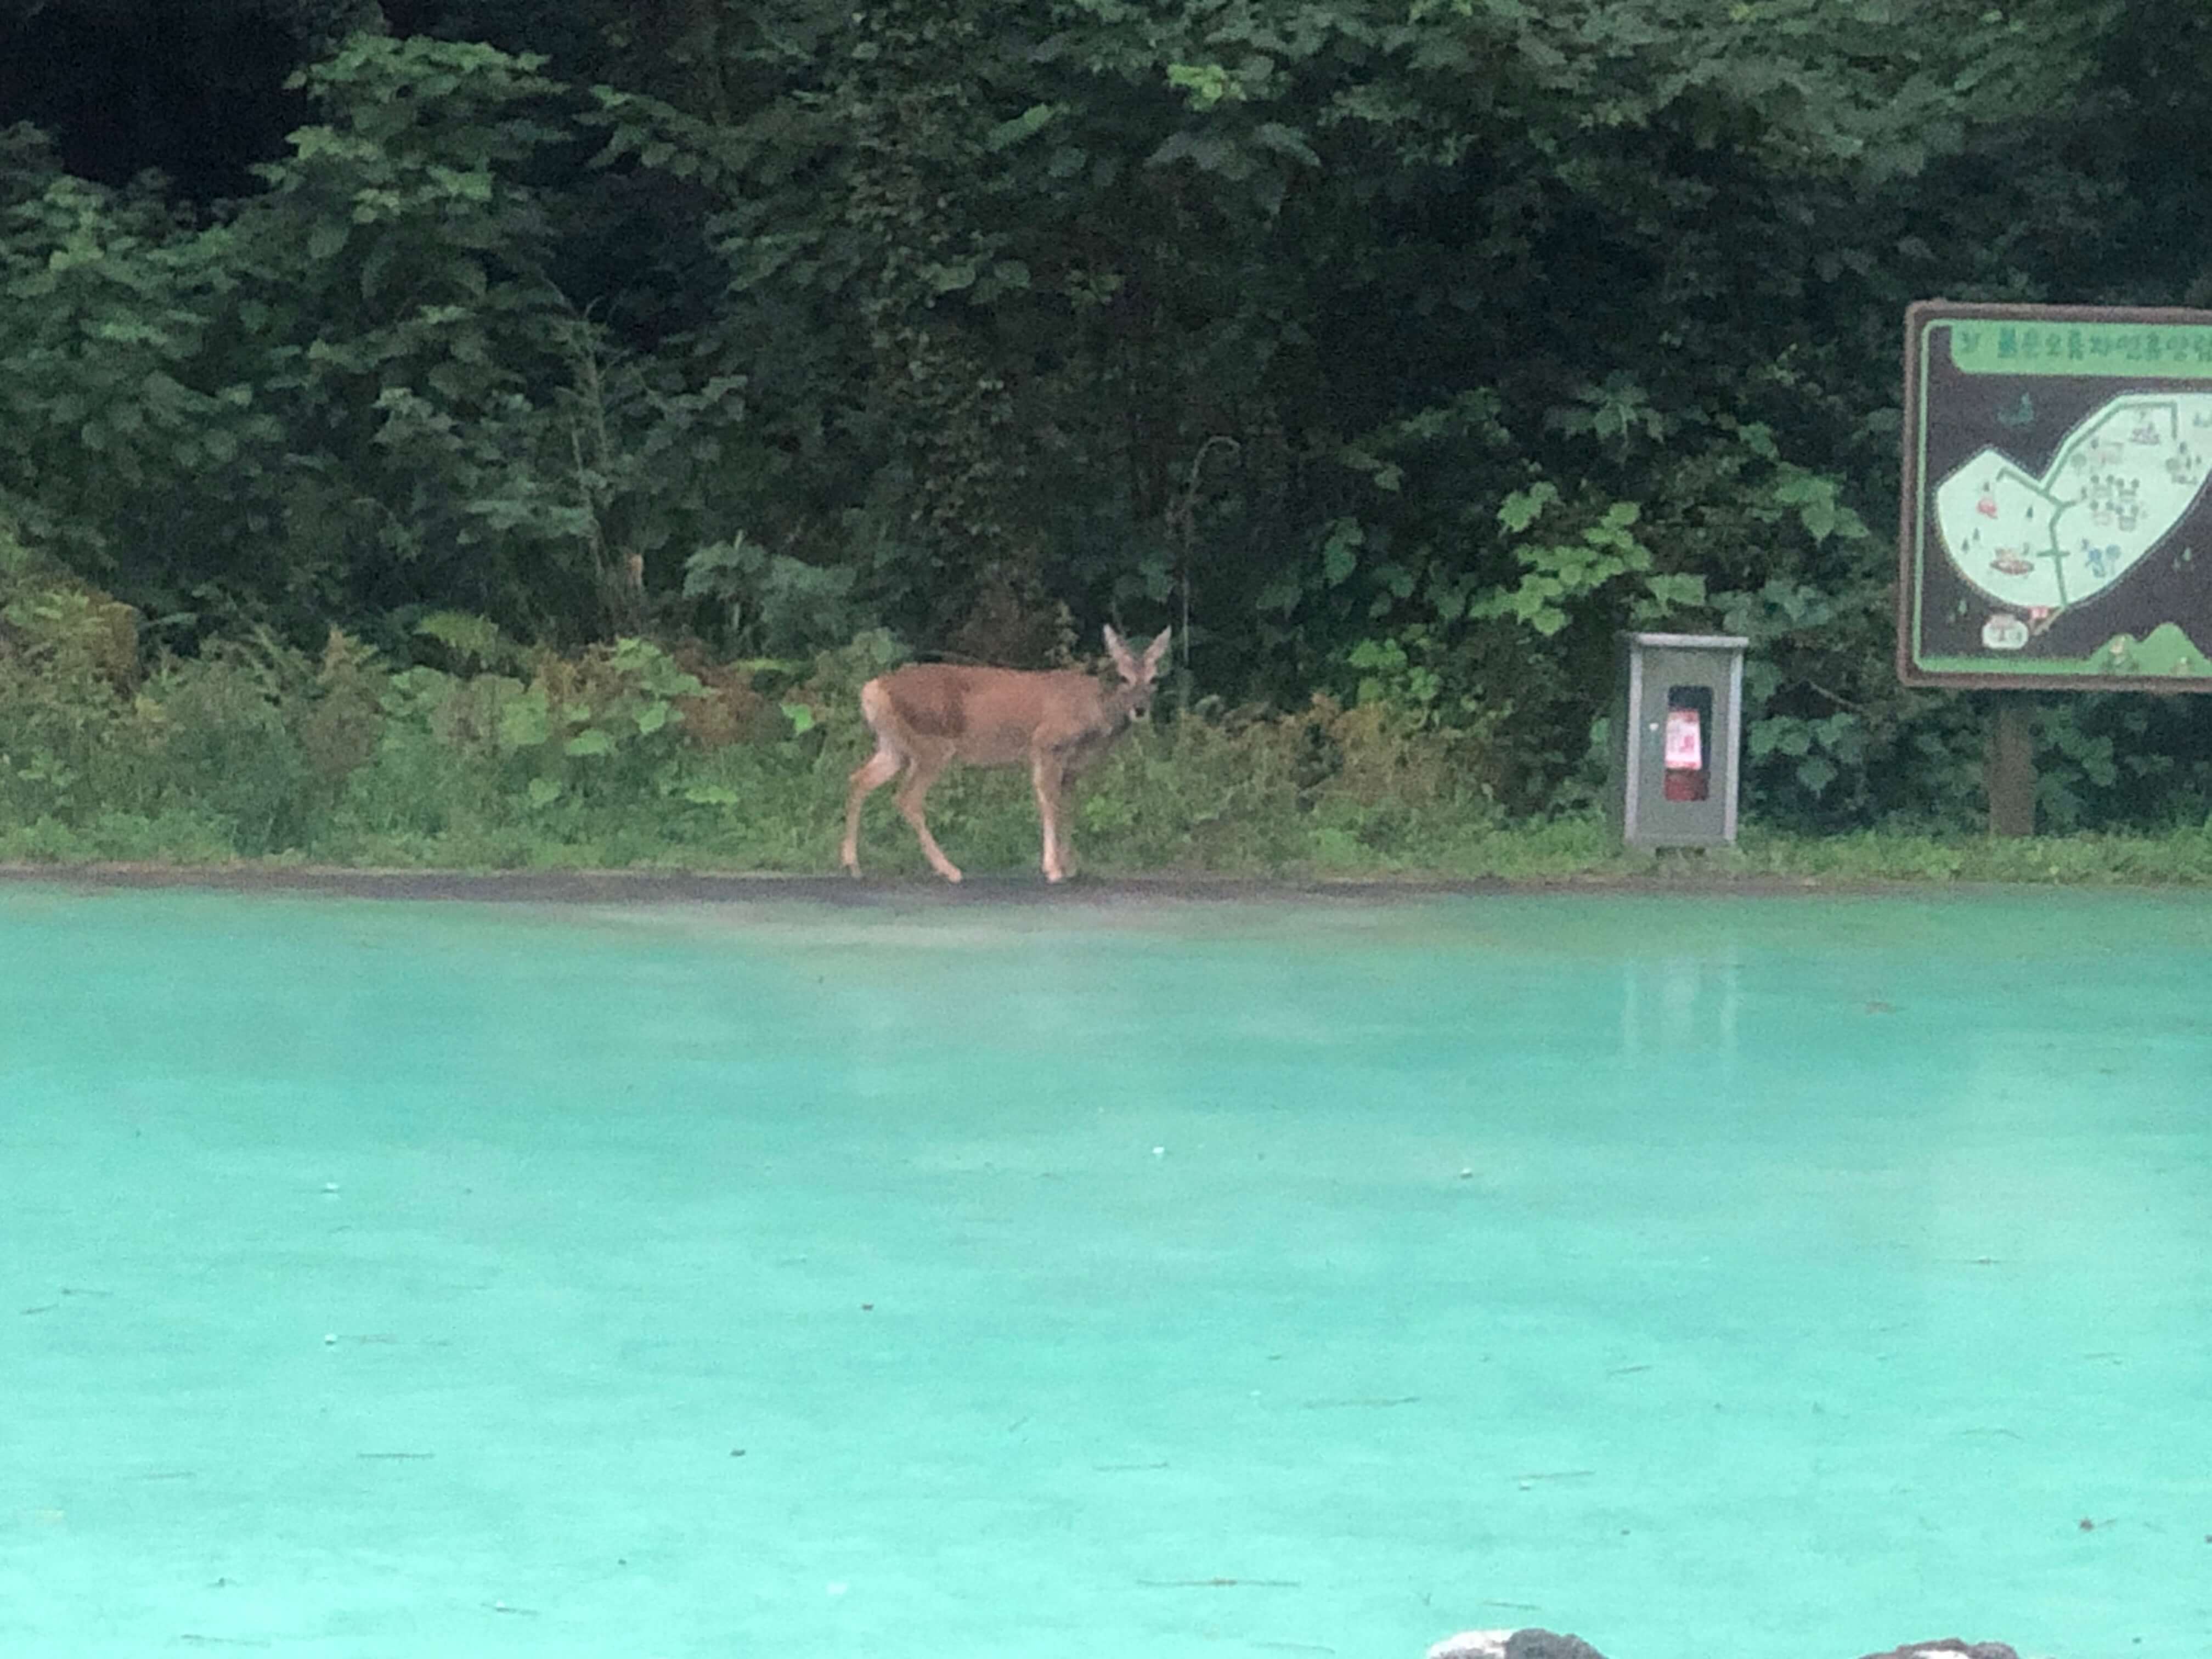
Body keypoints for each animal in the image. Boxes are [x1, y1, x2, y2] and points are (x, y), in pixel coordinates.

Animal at [836, 624, 1177, 884]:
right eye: (1123, 677)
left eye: (1154, 679)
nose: (1140, 709)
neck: (1094, 716)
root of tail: (872, 690)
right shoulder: (1047, 745)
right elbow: (1050, 805)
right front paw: (1053, 869)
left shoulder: (1072, 767)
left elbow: (1068, 809)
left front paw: (1070, 866)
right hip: (932, 746)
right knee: (907, 798)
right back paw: (950, 870)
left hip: (894, 748)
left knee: (858, 780)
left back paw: (853, 865)